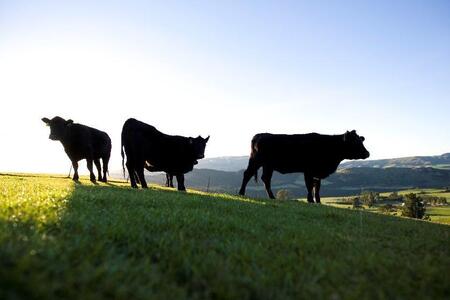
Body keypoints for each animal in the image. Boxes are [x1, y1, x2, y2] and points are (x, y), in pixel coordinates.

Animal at [239, 131, 370, 203]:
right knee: (247, 174)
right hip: (256, 160)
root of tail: (259, 135)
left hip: (268, 166)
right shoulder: (309, 171)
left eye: (361, 141)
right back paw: (241, 193)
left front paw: (318, 201)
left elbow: (317, 188)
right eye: (355, 142)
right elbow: (309, 186)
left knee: (266, 179)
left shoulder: (317, 173)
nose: (367, 153)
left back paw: (272, 197)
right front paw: (310, 200)